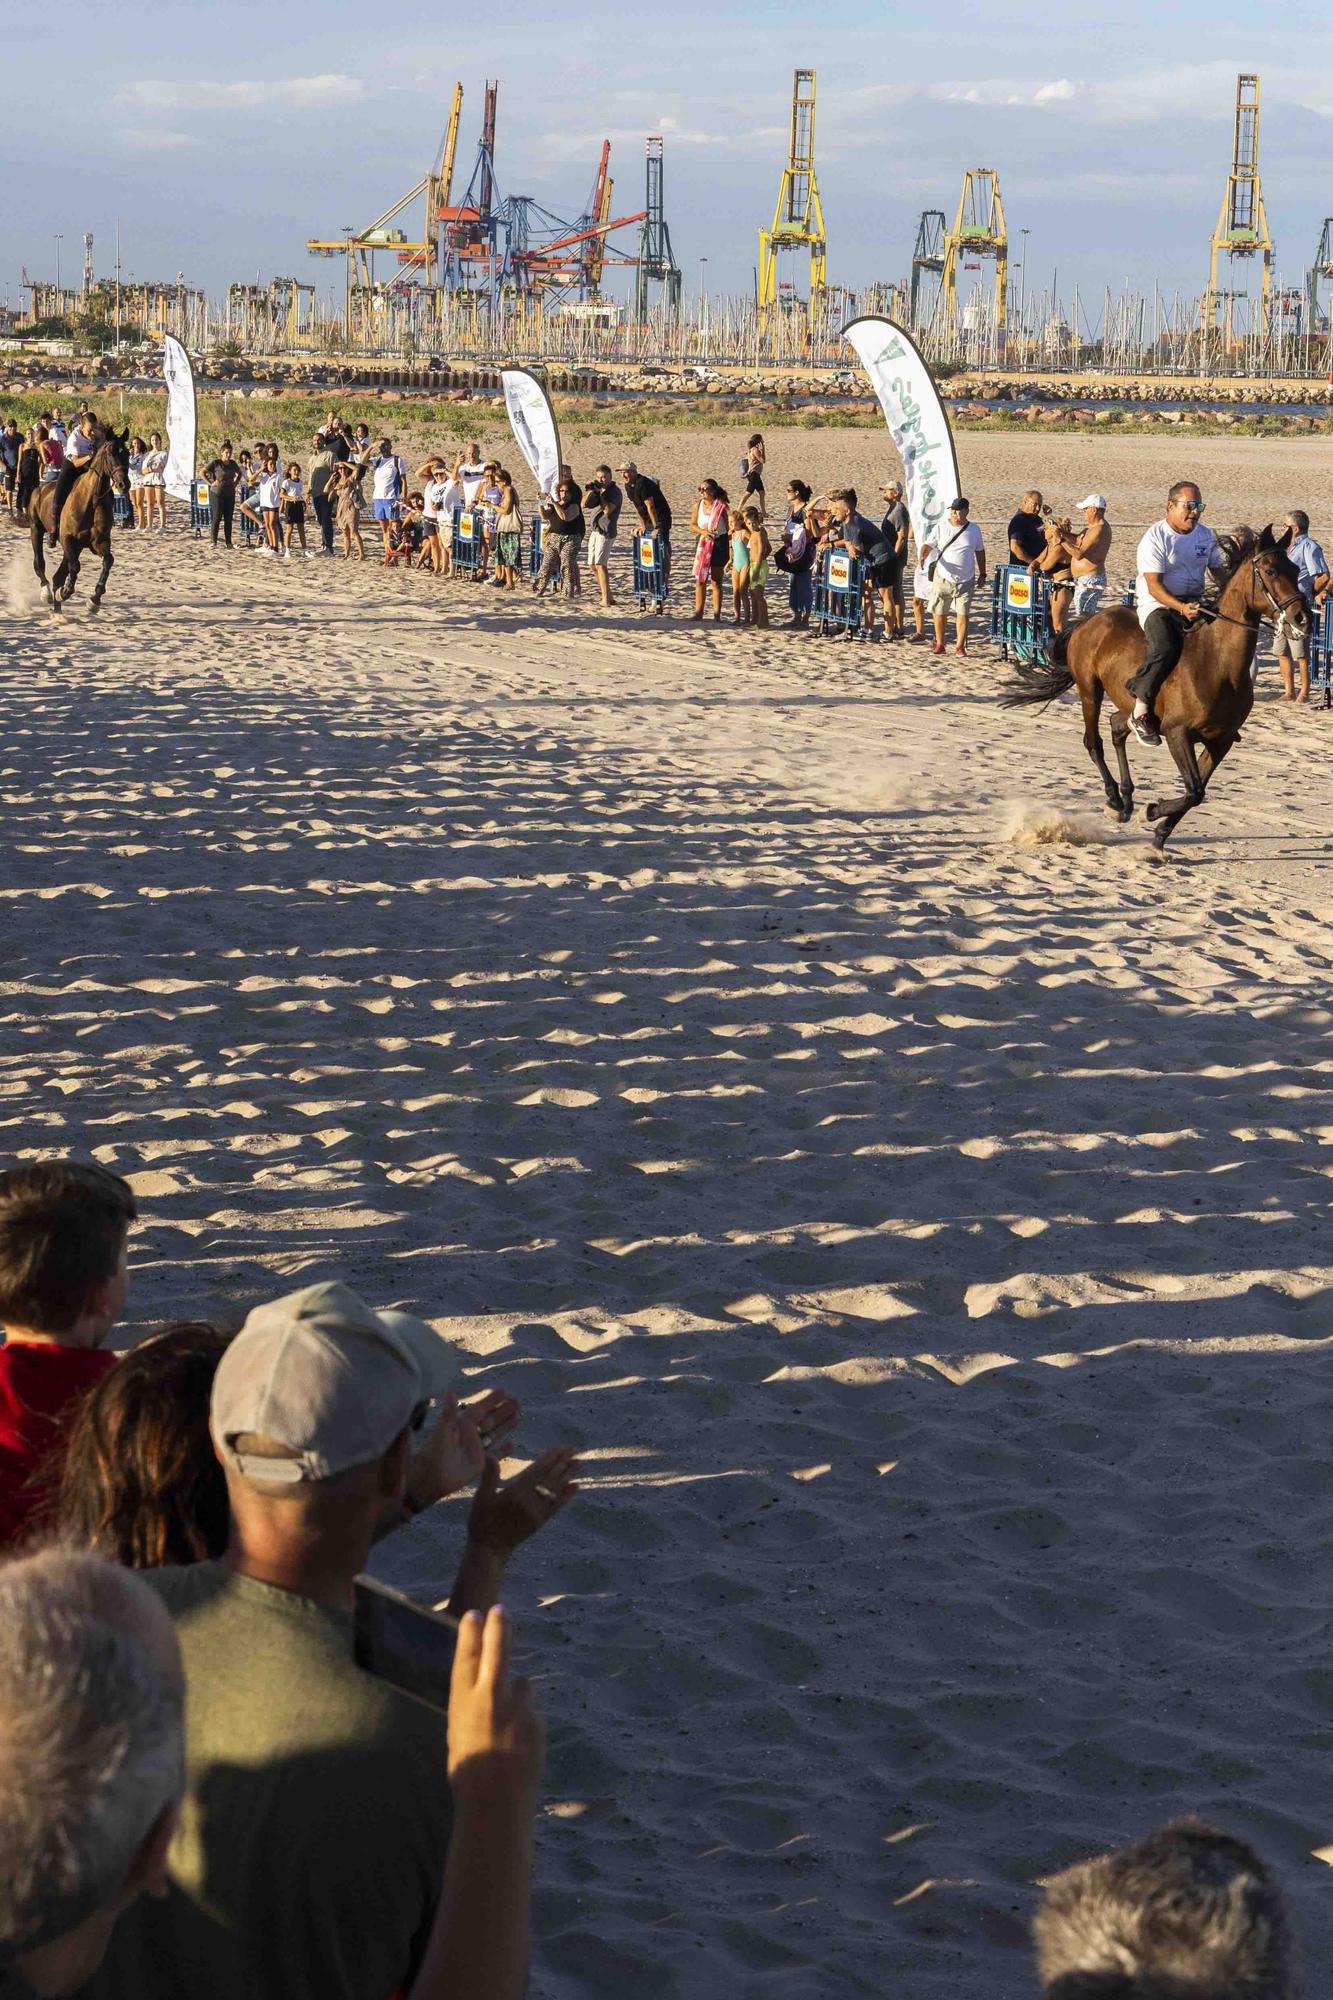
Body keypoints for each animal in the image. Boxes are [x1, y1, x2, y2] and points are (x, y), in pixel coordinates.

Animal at [29, 434, 132, 620]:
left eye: (127, 453)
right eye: (111, 453)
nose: (123, 484)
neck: (91, 501)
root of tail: (39, 488)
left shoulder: (97, 543)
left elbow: (108, 561)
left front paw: (94, 601)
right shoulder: (68, 539)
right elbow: (75, 567)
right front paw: (65, 592)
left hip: (75, 547)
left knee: (58, 576)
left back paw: (58, 612)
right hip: (36, 529)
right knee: (39, 563)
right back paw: (47, 593)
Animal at [996, 524, 1296, 852]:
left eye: (1295, 569)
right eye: (1270, 570)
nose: (1302, 616)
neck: (1217, 663)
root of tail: (1090, 619)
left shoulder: (1221, 740)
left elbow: (1197, 793)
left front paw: (1158, 835)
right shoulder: (1178, 734)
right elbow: (1194, 790)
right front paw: (1152, 812)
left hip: (1127, 704)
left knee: (1117, 726)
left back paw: (1126, 799)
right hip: (1090, 690)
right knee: (1093, 741)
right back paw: (1114, 799)